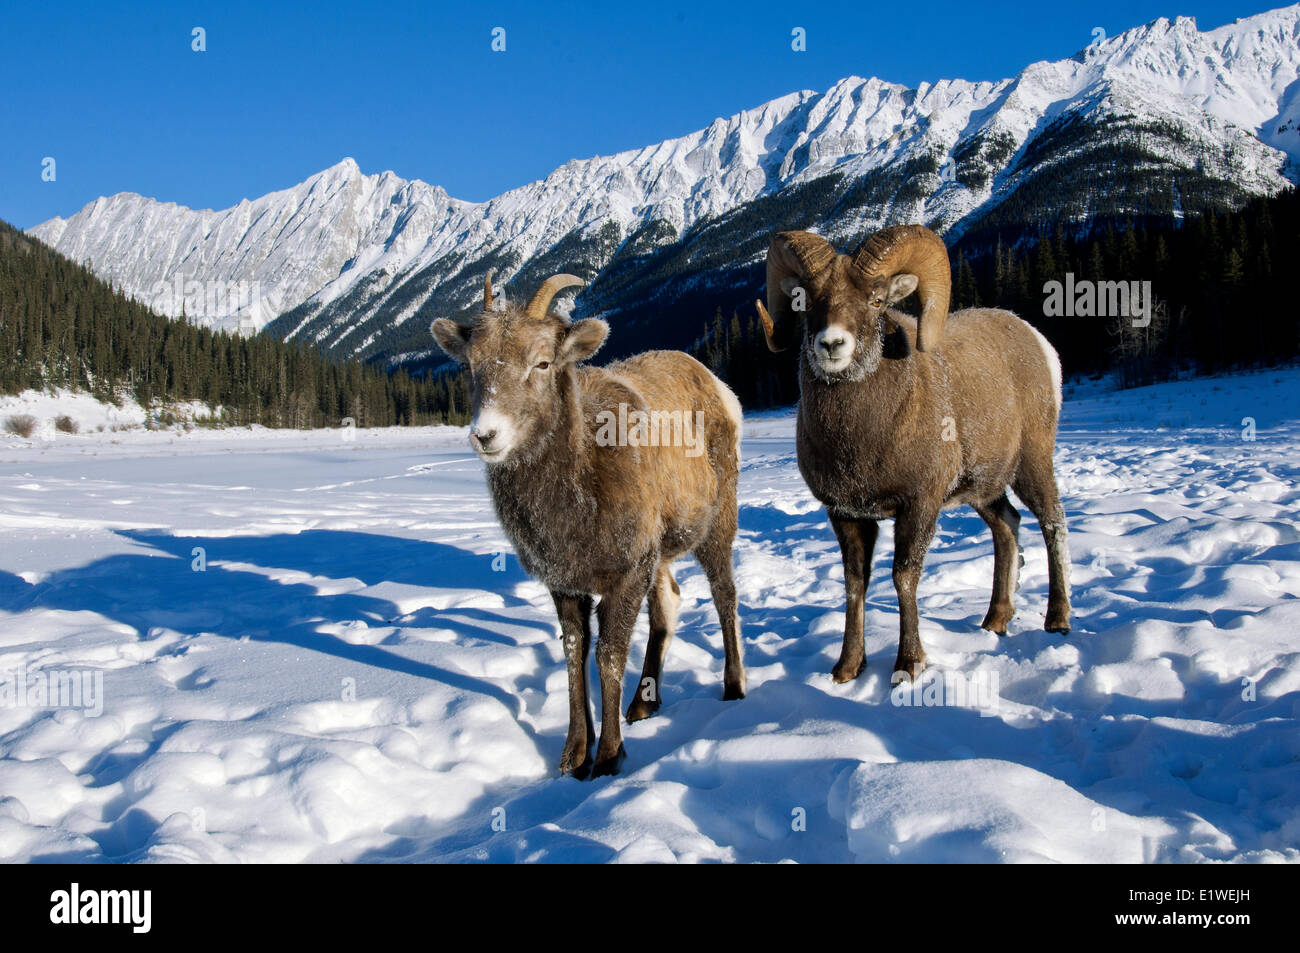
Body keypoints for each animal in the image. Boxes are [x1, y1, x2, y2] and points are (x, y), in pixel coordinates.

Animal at [434, 271, 748, 774]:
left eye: (542, 362)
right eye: (470, 366)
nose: (486, 435)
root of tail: (722, 389)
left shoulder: (626, 572)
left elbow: (609, 656)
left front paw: (608, 758)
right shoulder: (566, 581)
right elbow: (573, 653)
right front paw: (573, 757)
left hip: (717, 523)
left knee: (725, 596)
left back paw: (733, 687)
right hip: (660, 554)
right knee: (669, 602)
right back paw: (644, 704)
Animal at [759, 226, 1071, 681]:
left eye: (876, 300)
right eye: (808, 301)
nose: (831, 344)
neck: (859, 440)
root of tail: (1040, 345)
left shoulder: (919, 505)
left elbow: (904, 577)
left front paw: (909, 665)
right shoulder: (846, 514)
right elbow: (855, 583)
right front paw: (847, 668)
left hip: (1032, 464)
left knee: (1053, 524)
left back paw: (1058, 620)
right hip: (984, 491)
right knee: (1007, 526)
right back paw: (995, 620)